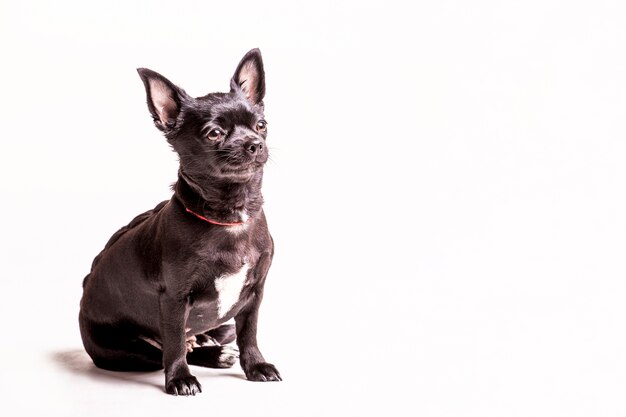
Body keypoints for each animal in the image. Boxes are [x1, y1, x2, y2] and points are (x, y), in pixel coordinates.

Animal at [79, 48, 280, 394]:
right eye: (214, 134)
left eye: (261, 125)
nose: (254, 143)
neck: (232, 214)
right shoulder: (174, 299)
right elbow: (173, 344)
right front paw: (180, 379)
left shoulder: (254, 294)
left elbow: (249, 334)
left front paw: (255, 366)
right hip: (125, 347)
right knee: (167, 350)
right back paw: (210, 356)